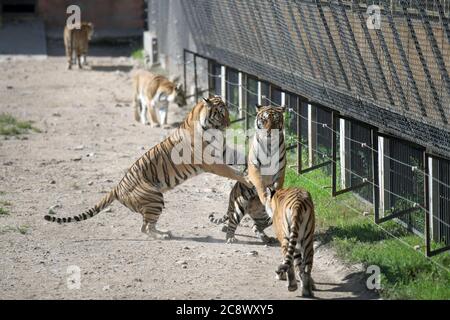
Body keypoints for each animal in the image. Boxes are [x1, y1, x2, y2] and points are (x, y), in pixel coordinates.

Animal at [44, 97, 251, 240]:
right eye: (221, 112)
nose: (228, 124)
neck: (211, 128)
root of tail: (117, 187)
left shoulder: (223, 151)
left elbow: (241, 156)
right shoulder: (211, 162)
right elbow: (232, 172)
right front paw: (248, 179)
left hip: (155, 201)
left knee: (148, 225)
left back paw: (165, 232)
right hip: (155, 199)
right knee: (144, 228)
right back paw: (162, 235)